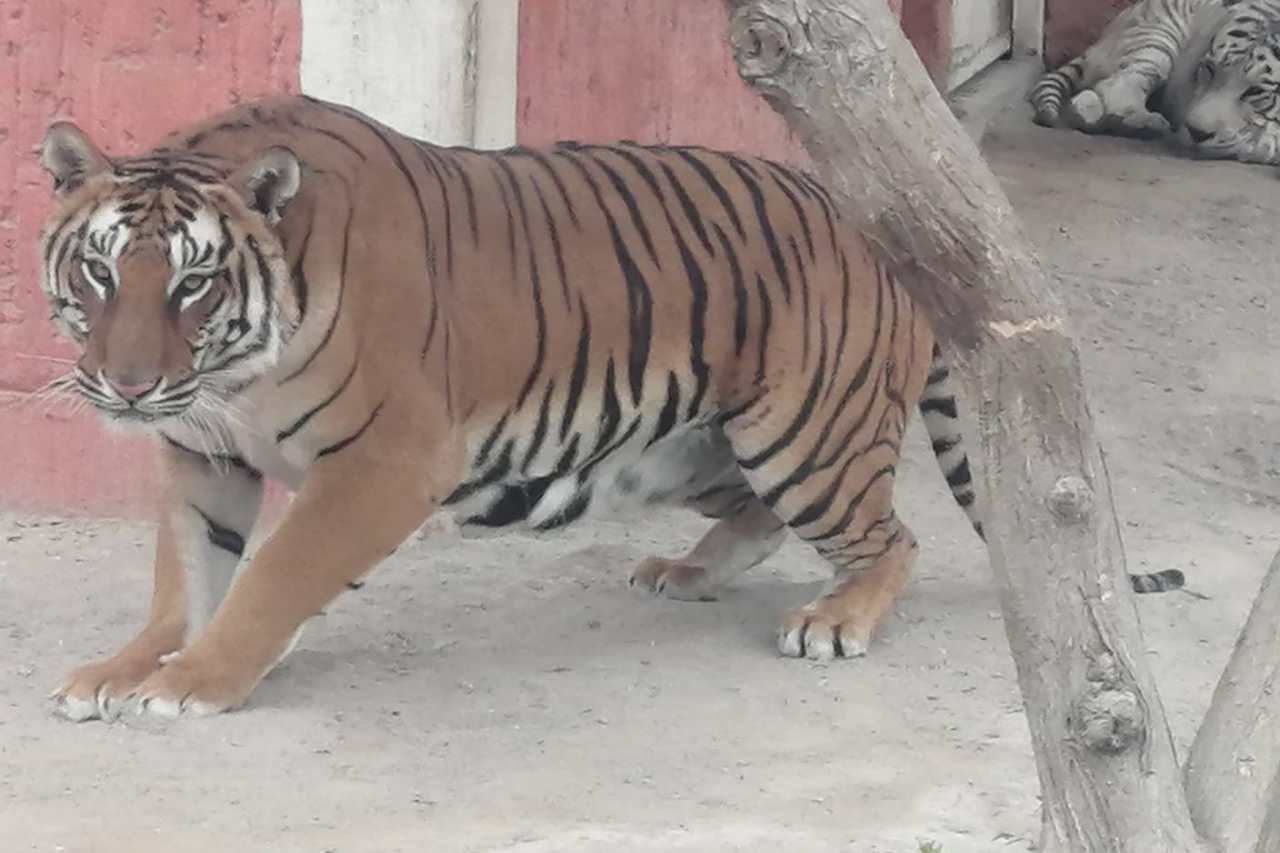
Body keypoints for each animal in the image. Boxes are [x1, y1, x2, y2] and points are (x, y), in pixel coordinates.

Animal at [35, 94, 1182, 717]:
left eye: (191, 284)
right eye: (100, 272)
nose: (125, 385)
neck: (230, 372)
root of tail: (881, 234)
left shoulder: (385, 461)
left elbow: (269, 577)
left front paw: (194, 682)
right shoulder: (203, 452)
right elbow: (186, 576)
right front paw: (128, 666)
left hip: (802, 433)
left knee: (891, 537)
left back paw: (833, 620)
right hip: (694, 445)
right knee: (758, 519)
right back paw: (686, 571)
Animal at [1024, 0, 1280, 162]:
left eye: (1255, 92)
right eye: (1209, 69)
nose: (1195, 132)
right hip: (1160, 39)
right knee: (1113, 89)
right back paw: (1150, 123)